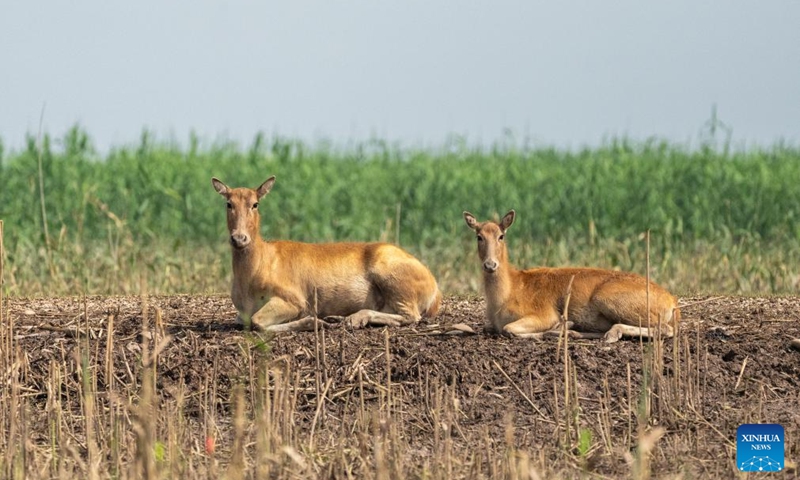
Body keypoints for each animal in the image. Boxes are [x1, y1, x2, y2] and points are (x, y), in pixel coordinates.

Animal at [212, 176, 442, 332]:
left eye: (255, 203)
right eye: (229, 203)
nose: (239, 239)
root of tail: (435, 289)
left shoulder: (294, 299)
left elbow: (257, 322)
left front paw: (316, 321)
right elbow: (245, 321)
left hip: (392, 277)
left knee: (411, 315)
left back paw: (352, 319)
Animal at [463, 210, 680, 343]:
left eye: (501, 236)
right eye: (478, 236)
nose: (490, 264)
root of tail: (672, 301)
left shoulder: (543, 313)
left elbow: (509, 329)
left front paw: (555, 327)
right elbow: (489, 328)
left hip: (608, 298)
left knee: (666, 329)